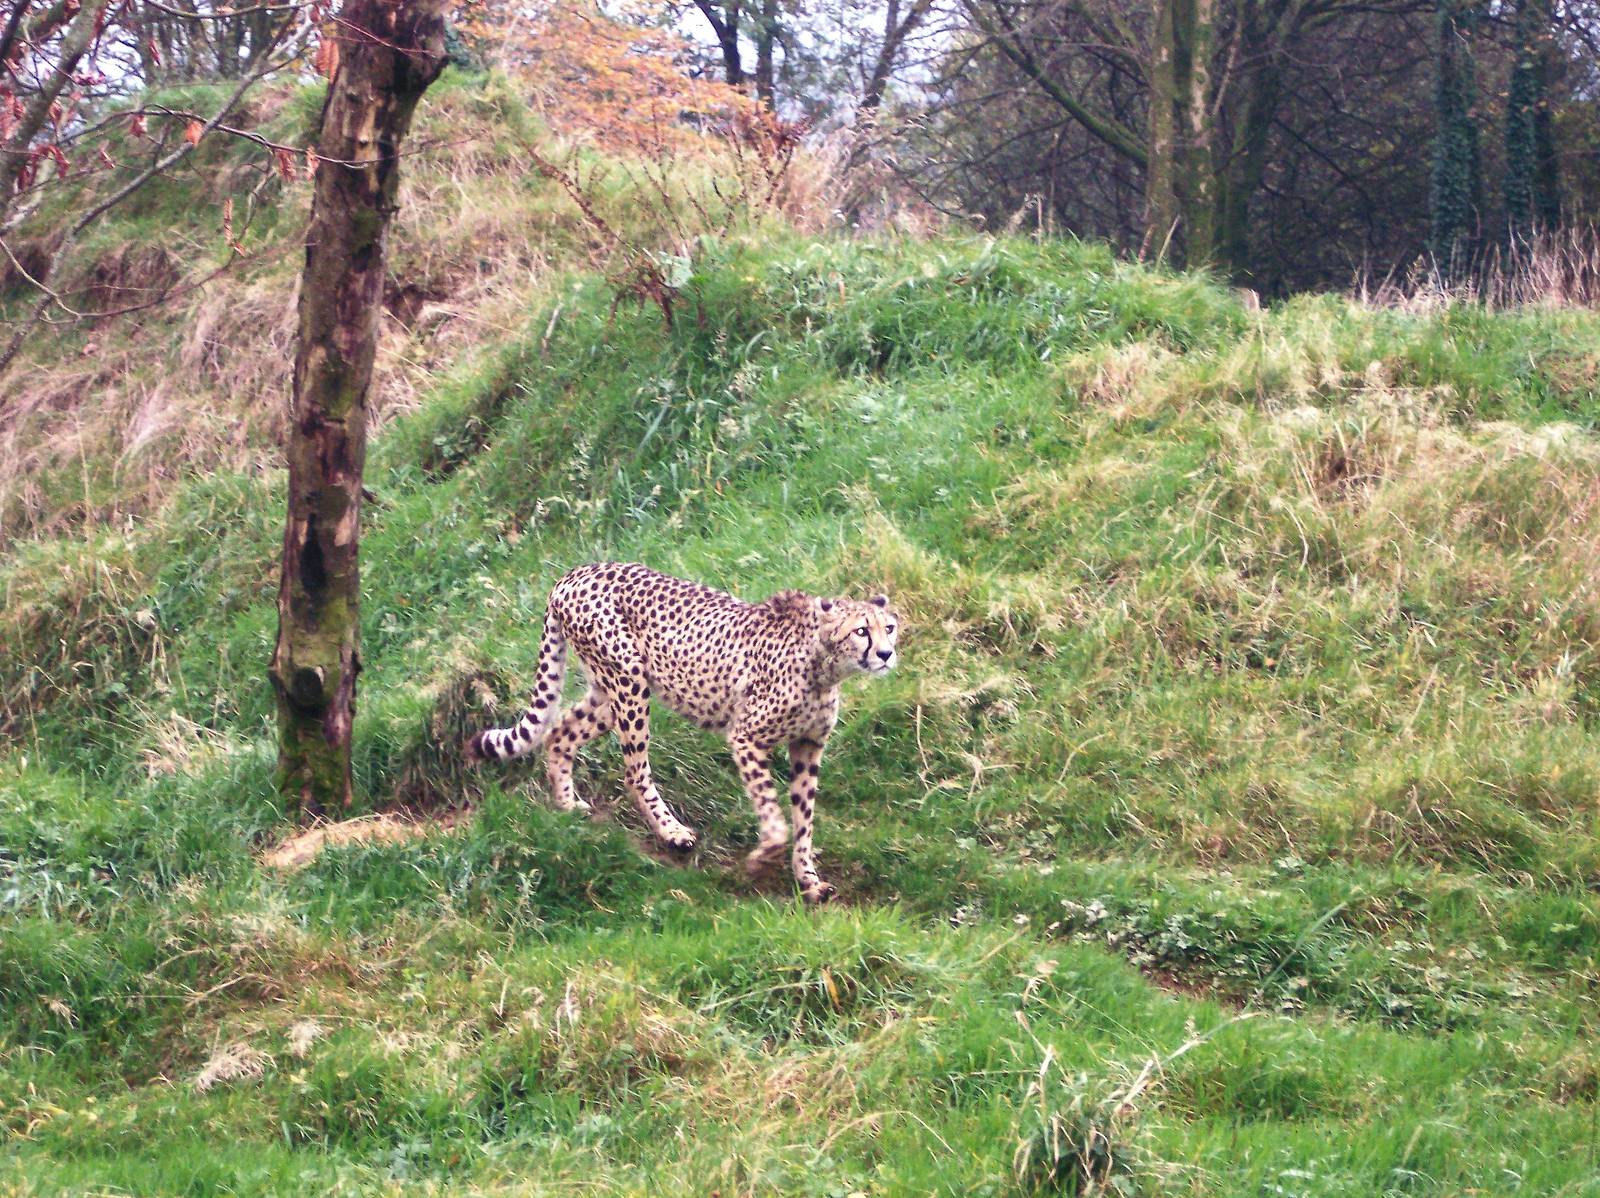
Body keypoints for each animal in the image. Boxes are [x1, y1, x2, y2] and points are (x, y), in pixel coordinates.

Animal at [465, 562, 900, 903]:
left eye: (890, 628)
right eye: (862, 631)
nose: (885, 653)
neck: (824, 665)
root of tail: (577, 572)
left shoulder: (808, 744)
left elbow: (804, 817)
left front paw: (808, 879)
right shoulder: (745, 736)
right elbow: (772, 812)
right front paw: (763, 858)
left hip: (611, 692)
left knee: (559, 732)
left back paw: (567, 805)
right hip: (629, 682)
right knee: (634, 771)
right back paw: (670, 831)